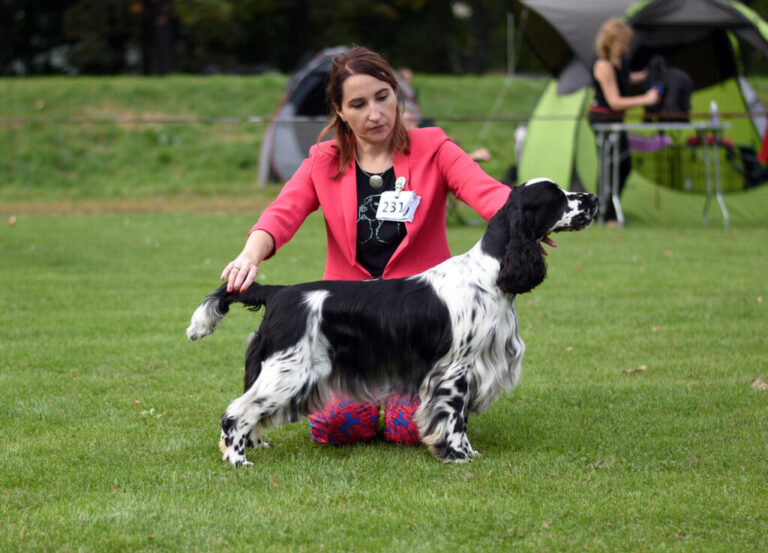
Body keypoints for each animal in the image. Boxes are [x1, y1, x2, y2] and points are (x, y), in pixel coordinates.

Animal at [188, 179, 600, 464]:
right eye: (558, 197)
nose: (594, 199)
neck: (491, 273)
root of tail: (278, 293)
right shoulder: (457, 371)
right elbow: (455, 418)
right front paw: (460, 456)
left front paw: (468, 454)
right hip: (288, 371)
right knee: (236, 413)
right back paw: (238, 460)